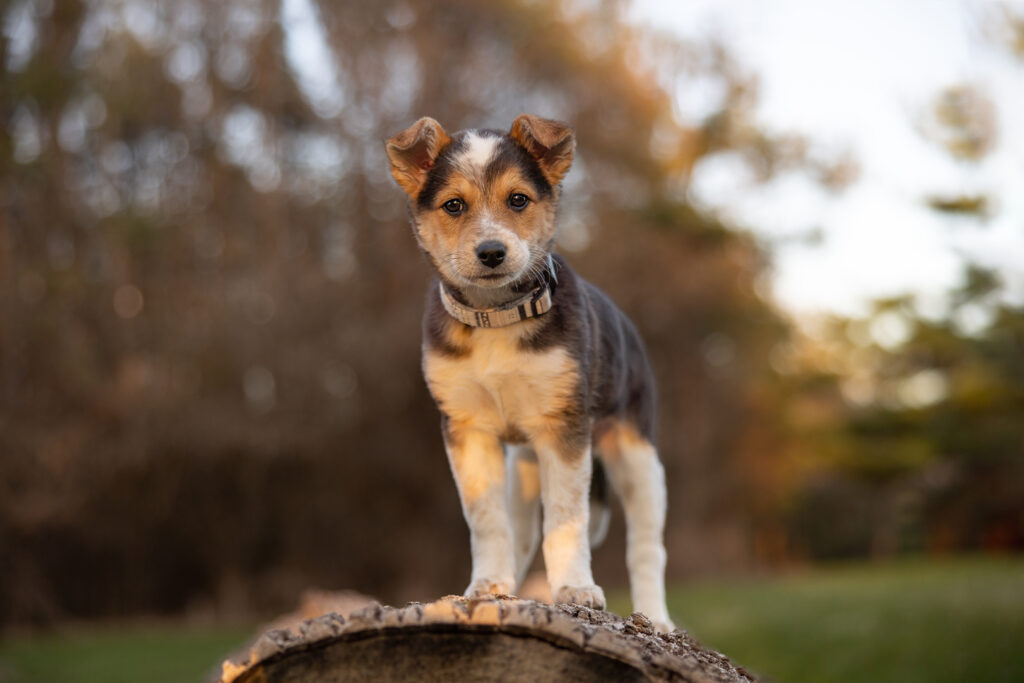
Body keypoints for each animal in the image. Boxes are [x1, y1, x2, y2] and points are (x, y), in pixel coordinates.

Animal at [385, 113, 671, 630]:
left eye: (518, 199)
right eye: (453, 205)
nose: (491, 252)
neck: (497, 318)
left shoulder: (563, 428)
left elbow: (565, 519)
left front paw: (575, 589)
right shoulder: (467, 428)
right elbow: (486, 520)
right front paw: (486, 587)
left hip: (637, 454)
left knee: (646, 546)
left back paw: (656, 620)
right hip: (523, 462)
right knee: (520, 532)